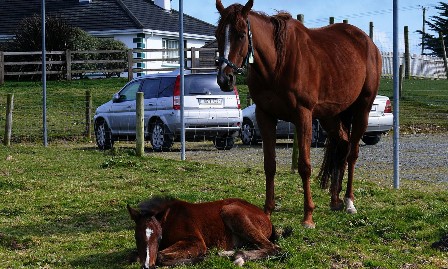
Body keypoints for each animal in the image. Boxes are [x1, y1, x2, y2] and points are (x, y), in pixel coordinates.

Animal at [127, 196, 280, 266]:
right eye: (136, 237)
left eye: (159, 237)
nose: (147, 266)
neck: (170, 219)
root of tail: (266, 217)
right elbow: (132, 255)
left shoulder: (196, 242)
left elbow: (160, 255)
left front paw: (201, 258)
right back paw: (227, 253)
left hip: (231, 211)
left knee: (274, 248)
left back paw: (238, 257)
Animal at [216, 0, 382, 227]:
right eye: (217, 34)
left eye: (241, 35)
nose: (225, 79)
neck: (278, 62)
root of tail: (368, 43)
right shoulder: (265, 116)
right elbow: (270, 164)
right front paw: (267, 211)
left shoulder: (303, 115)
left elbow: (304, 166)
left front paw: (308, 216)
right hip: (330, 116)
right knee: (342, 145)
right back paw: (335, 199)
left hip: (361, 110)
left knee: (352, 153)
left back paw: (349, 201)